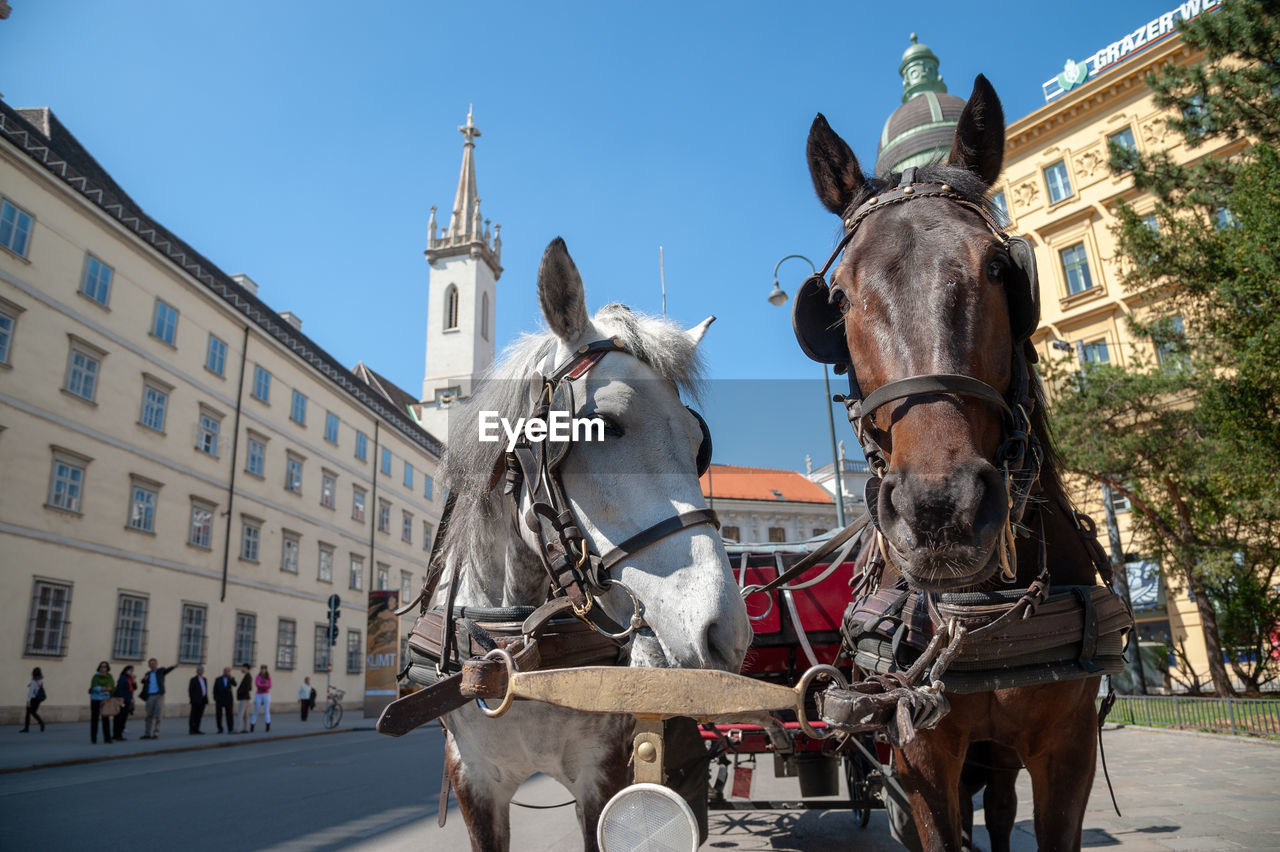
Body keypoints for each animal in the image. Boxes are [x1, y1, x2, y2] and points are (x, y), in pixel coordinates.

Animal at [424, 235, 752, 844]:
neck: (516, 652)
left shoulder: (603, 771)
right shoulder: (472, 777)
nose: (728, 634)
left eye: (699, 443)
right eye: (606, 426)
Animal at [803, 76, 1116, 844]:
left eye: (1001, 268)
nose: (940, 510)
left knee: (1000, 810)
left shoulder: (1070, 750)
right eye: (839, 296)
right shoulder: (918, 753)